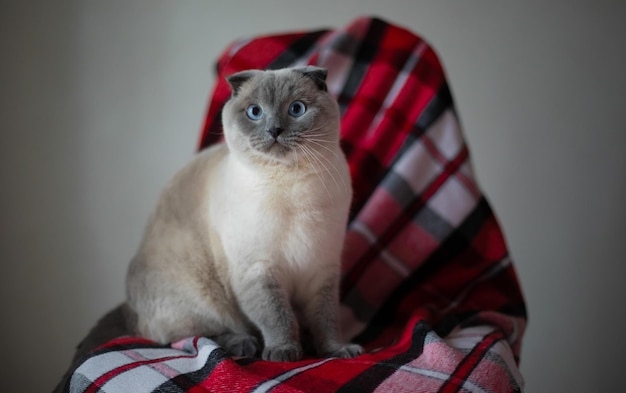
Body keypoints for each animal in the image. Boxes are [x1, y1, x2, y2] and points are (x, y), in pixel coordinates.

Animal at [124, 65, 360, 362]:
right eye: (254, 112)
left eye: (296, 109)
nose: (274, 130)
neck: (291, 185)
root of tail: (129, 311)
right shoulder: (257, 271)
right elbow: (278, 317)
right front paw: (284, 352)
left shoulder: (321, 270)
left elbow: (326, 320)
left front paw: (337, 351)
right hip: (199, 297)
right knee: (191, 337)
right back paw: (244, 344)